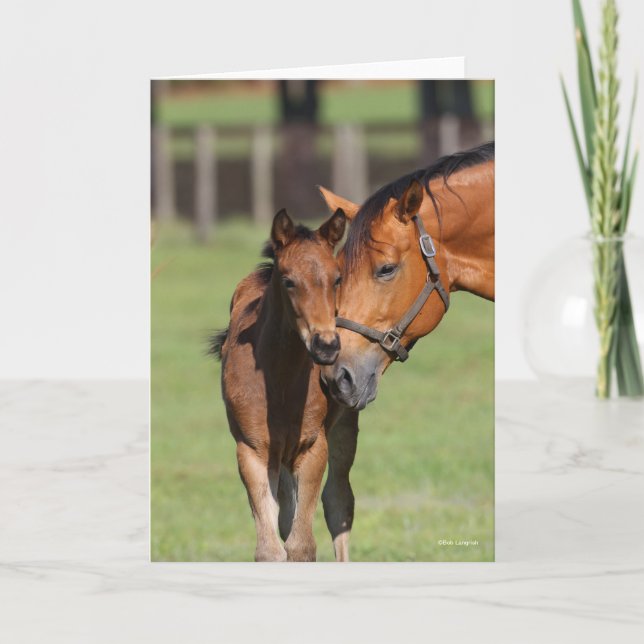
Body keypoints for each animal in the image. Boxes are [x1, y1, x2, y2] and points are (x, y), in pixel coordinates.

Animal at [210, 207, 347, 561]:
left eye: (337, 278)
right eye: (289, 281)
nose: (326, 345)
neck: (280, 382)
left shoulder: (312, 447)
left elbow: (302, 544)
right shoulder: (253, 451)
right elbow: (270, 548)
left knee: (339, 503)